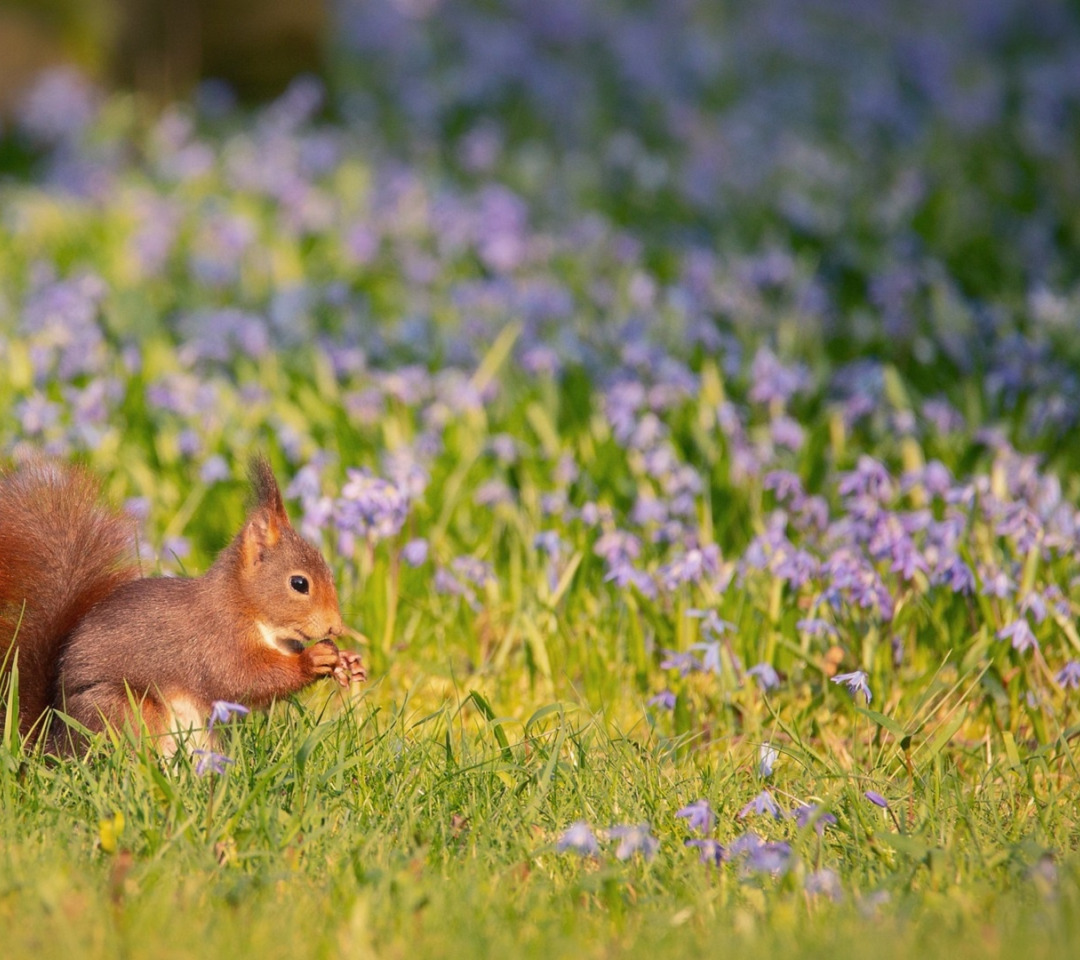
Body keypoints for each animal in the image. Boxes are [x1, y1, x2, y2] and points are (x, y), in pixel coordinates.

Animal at [0, 453, 367, 751]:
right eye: (299, 583)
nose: (336, 627)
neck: (249, 610)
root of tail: (51, 744)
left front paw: (346, 662)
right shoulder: (217, 641)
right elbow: (242, 680)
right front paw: (314, 659)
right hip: (125, 712)